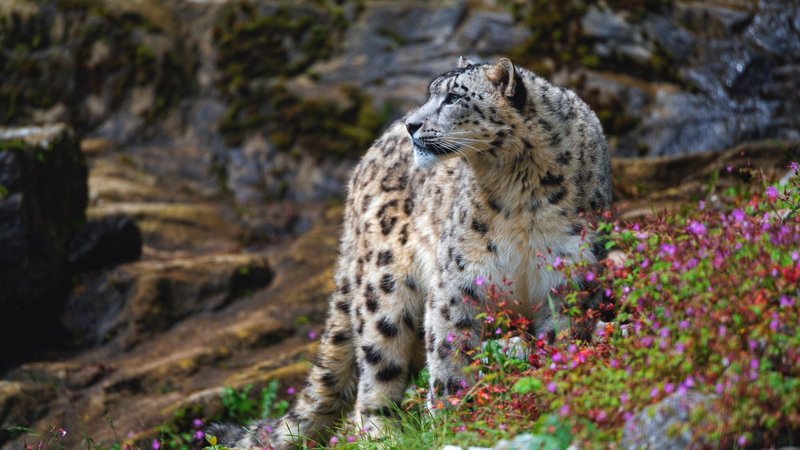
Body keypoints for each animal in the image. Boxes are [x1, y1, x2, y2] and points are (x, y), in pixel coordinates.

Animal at [210, 57, 612, 449]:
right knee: (376, 367)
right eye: (432, 93)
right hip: (383, 287)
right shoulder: (458, 281)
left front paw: (556, 389)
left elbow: (561, 341)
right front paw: (452, 421)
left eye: (453, 97)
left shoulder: (567, 278)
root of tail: (362, 165)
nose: (412, 125)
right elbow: (450, 353)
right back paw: (382, 433)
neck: (522, 194)